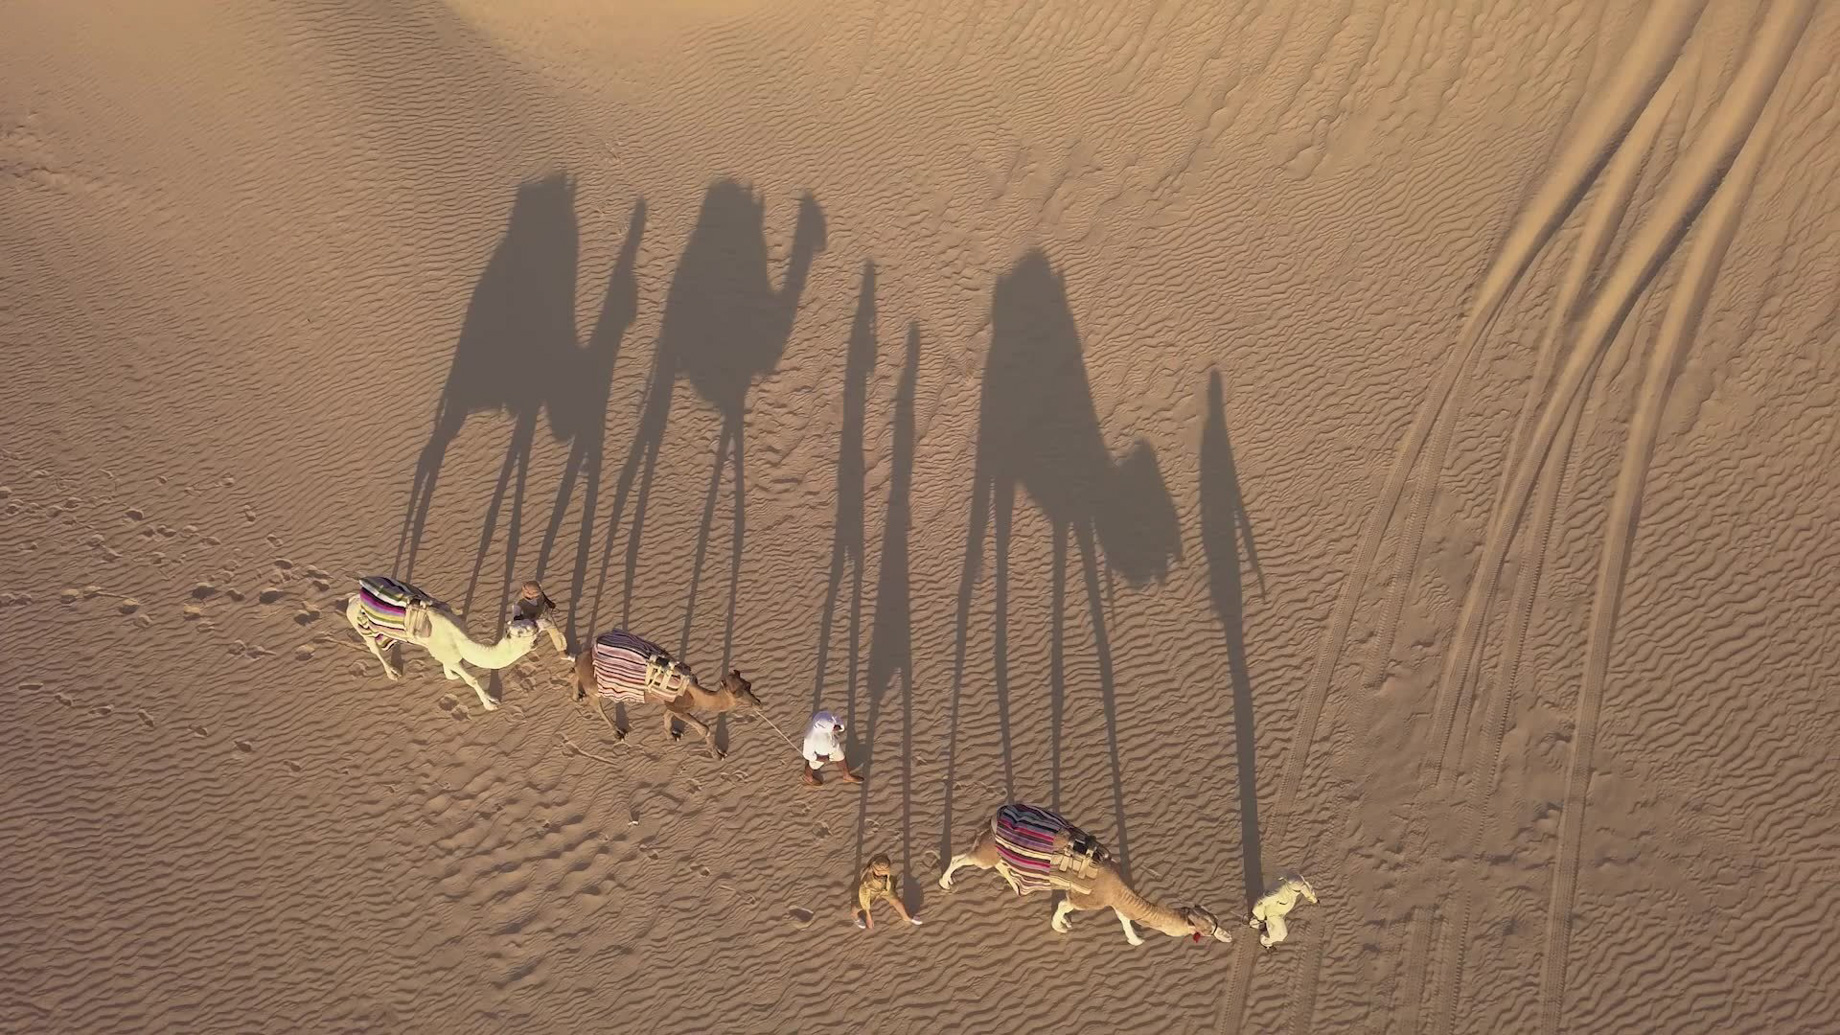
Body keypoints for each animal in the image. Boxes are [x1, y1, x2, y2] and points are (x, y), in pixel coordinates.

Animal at [346, 575, 562, 711]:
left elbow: (449, 669)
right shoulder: (450, 655)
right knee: (374, 648)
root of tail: (354, 597)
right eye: (527, 631)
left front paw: (452, 677)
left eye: (528, 620)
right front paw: (490, 704)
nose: (543, 622)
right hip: (364, 626)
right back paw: (392, 673)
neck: (461, 640)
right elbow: (471, 679)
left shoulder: (448, 653)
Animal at [570, 632, 763, 758]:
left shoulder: (670, 704)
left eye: (749, 685)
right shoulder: (679, 705)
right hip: (596, 686)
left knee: (574, 674)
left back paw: (576, 696)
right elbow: (704, 729)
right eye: (736, 693)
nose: (759, 703)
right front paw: (718, 755)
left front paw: (672, 736)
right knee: (596, 704)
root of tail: (584, 655)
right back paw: (618, 732)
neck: (695, 694)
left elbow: (666, 715)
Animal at [937, 803, 1233, 947]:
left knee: (999, 866)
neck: (1117, 887)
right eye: (1210, 929)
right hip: (987, 851)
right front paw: (1060, 926)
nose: (1228, 935)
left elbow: (1124, 918)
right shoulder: (1087, 898)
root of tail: (993, 818)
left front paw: (1136, 940)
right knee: (963, 859)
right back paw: (945, 882)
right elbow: (1064, 905)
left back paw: (1017, 887)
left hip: (997, 851)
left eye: (1215, 921)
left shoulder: (1114, 901)